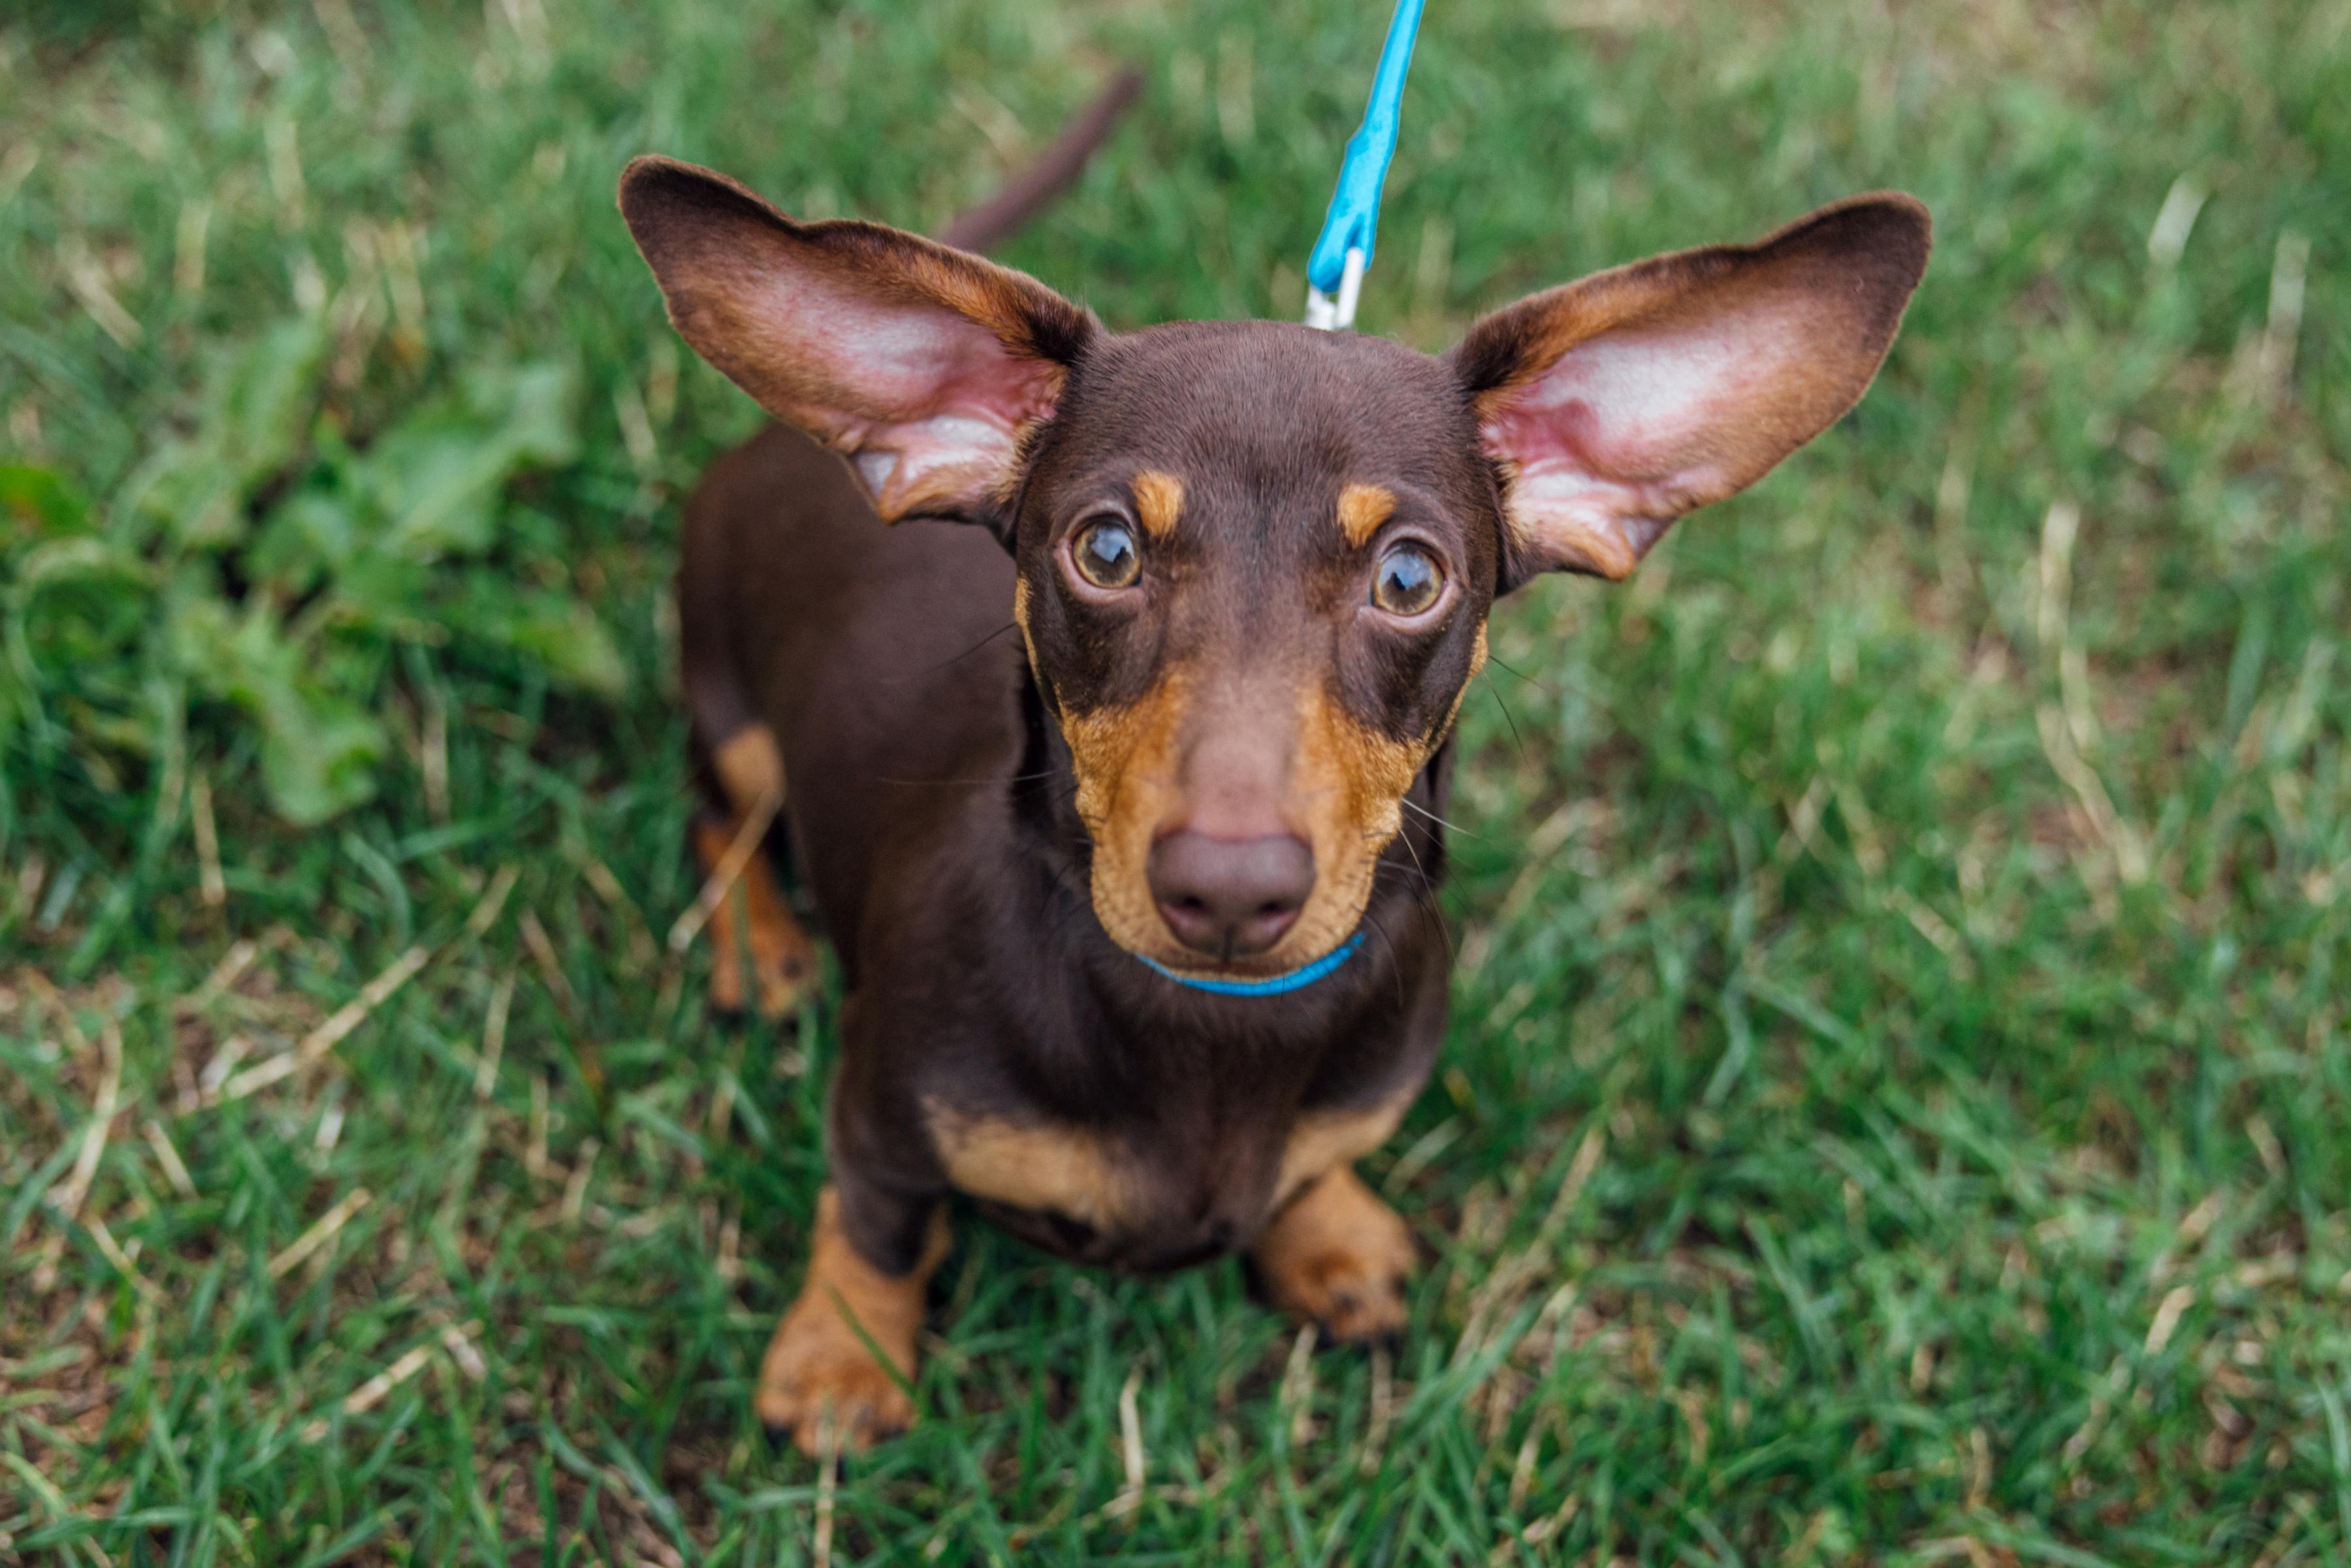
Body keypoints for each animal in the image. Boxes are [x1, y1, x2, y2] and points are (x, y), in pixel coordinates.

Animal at [625, 86, 1928, 1457]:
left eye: (1409, 576)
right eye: (1104, 549)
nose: (1231, 889)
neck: (1219, 1022)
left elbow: (1315, 1165)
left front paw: (1330, 1233)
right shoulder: (884, 1110)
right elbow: (879, 1219)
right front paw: (842, 1355)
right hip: (732, 716)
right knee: (720, 821)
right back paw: (760, 949)